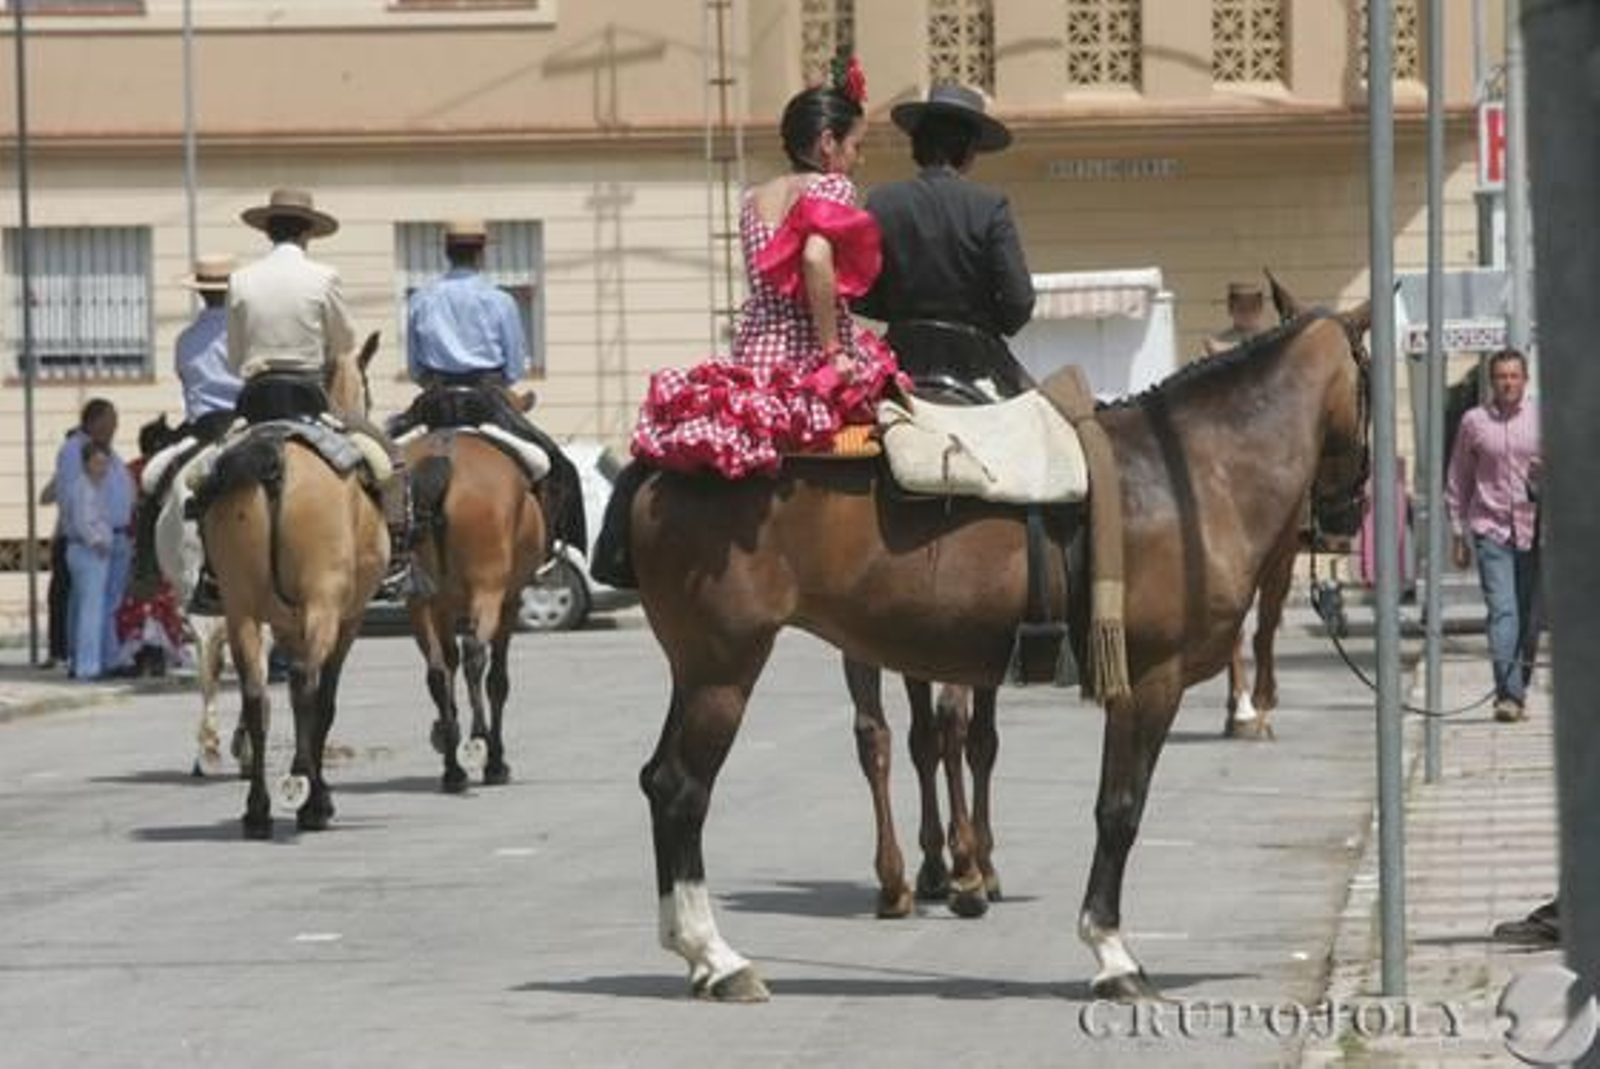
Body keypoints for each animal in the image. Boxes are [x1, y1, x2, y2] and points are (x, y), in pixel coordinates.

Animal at [197, 333, 387, 839]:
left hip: (240, 608)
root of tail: (274, 453)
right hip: (323, 601)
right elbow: (325, 701)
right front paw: (318, 794)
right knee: (306, 687)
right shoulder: (347, 618)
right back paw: (307, 797)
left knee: (256, 696)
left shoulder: (283, 623)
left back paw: (257, 809)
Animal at [403, 431, 547, 792]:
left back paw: (452, 767)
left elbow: (448, 663)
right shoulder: (509, 603)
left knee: (438, 671)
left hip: (418, 603)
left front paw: (447, 736)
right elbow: (498, 681)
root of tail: (443, 454)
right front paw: (496, 761)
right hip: (489, 592)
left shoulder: (442, 609)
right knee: (475, 656)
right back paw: (480, 741)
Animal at [601, 302, 1371, 1001]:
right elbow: (1119, 809)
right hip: (724, 671)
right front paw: (1111, 952)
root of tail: (663, 462)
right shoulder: (1150, 683)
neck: (1188, 474)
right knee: (683, 789)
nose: (1345, 515)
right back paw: (718, 956)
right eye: (1368, 383)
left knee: (663, 780)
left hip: (699, 670)